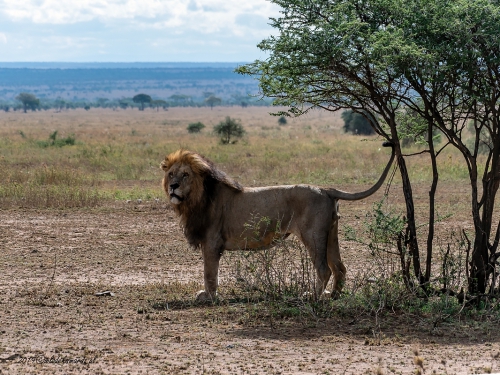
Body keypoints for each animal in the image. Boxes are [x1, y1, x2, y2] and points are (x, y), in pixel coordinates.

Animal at [160, 144, 394, 302]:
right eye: (171, 174)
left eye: (185, 175)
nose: (173, 186)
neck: (195, 199)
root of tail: (325, 189)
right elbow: (210, 272)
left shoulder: (211, 242)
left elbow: (209, 273)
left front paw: (208, 297)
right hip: (331, 234)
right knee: (340, 267)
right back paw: (334, 296)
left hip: (313, 235)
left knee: (324, 269)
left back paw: (313, 296)